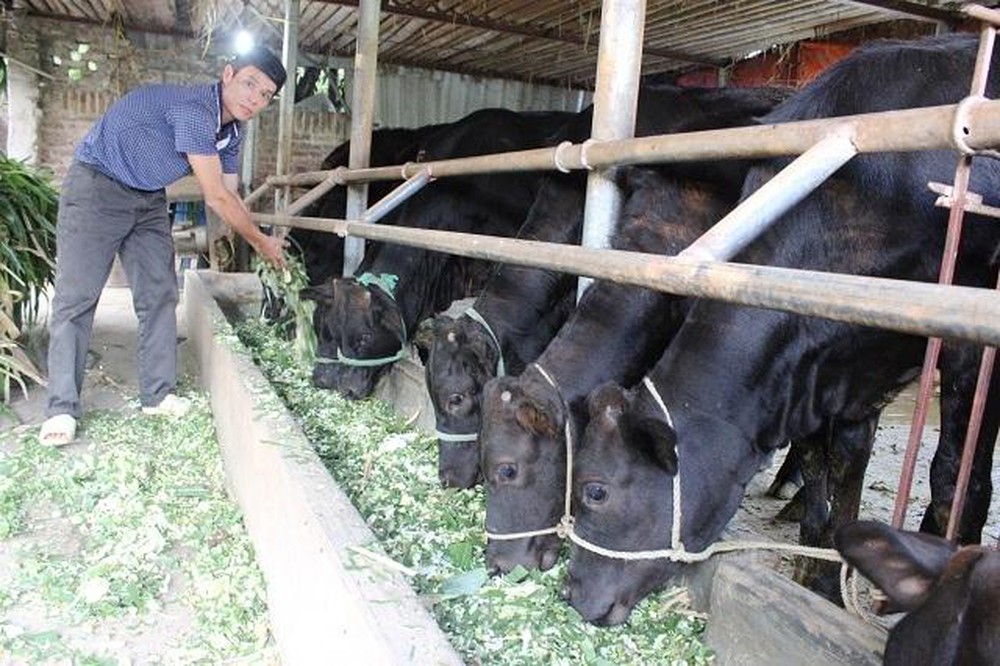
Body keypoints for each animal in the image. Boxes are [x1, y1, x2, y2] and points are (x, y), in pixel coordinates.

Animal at [564, 32, 1000, 624]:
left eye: (596, 491)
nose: (574, 594)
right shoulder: (834, 362)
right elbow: (830, 462)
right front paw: (819, 575)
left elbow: (954, 473)